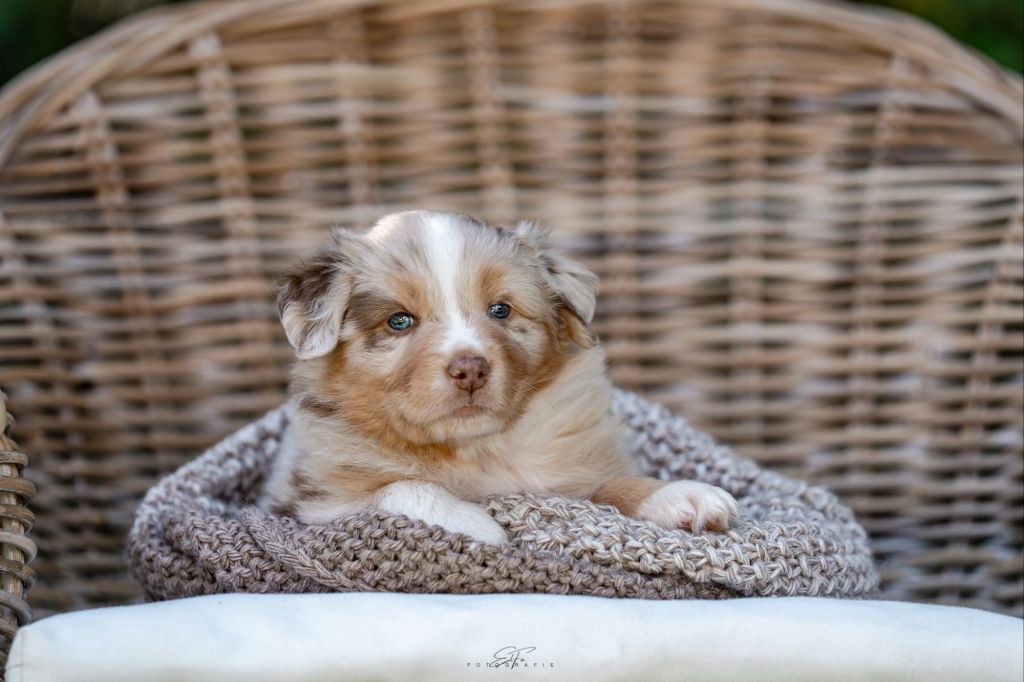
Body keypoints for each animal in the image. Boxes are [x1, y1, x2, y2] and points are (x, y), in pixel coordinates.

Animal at [261, 210, 739, 544]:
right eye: (399, 321)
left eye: (500, 310)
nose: (470, 368)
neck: (473, 449)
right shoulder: (316, 501)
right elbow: (401, 486)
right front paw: (475, 524)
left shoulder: (569, 478)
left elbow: (610, 485)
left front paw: (680, 494)